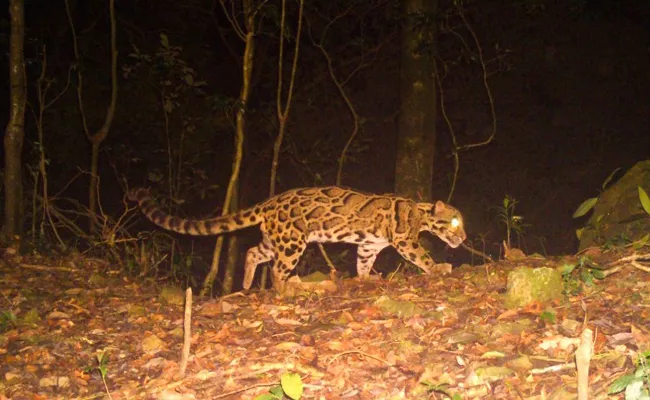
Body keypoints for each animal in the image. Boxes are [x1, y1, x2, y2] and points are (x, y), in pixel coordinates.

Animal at [130, 186, 466, 292]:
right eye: (454, 222)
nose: (463, 237)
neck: (420, 211)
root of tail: (269, 202)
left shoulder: (369, 244)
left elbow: (363, 262)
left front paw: (366, 278)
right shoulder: (404, 239)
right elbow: (422, 255)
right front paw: (438, 268)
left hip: (276, 240)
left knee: (252, 252)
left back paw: (247, 283)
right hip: (293, 243)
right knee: (277, 270)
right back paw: (286, 289)